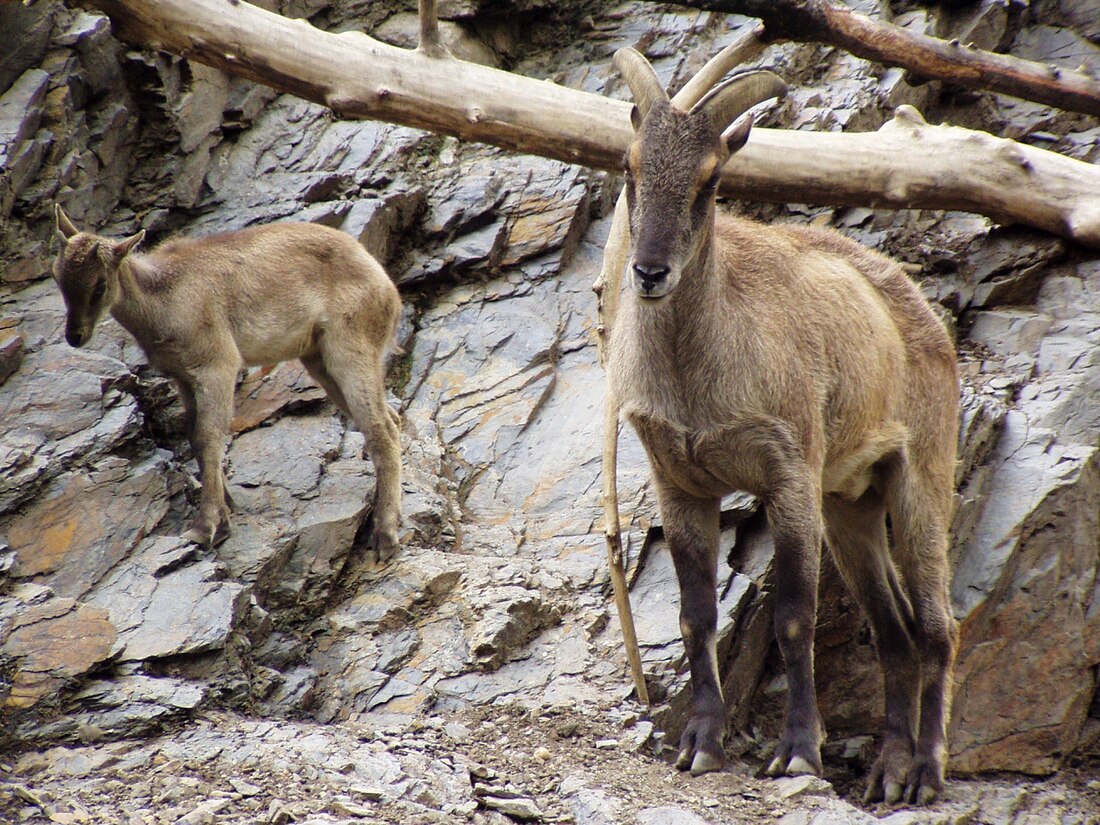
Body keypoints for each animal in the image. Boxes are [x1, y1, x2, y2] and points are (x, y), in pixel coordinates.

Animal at [611, 48, 963, 805]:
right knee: (892, 631)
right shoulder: (680, 483)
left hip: (918, 479)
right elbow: (695, 617)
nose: (649, 271)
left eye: (711, 180)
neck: (696, 370)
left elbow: (795, 616)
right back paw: (887, 771)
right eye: (629, 164)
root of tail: (922, 310)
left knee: (935, 626)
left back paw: (925, 771)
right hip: (851, 505)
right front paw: (700, 744)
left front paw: (799, 752)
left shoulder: (789, 474)